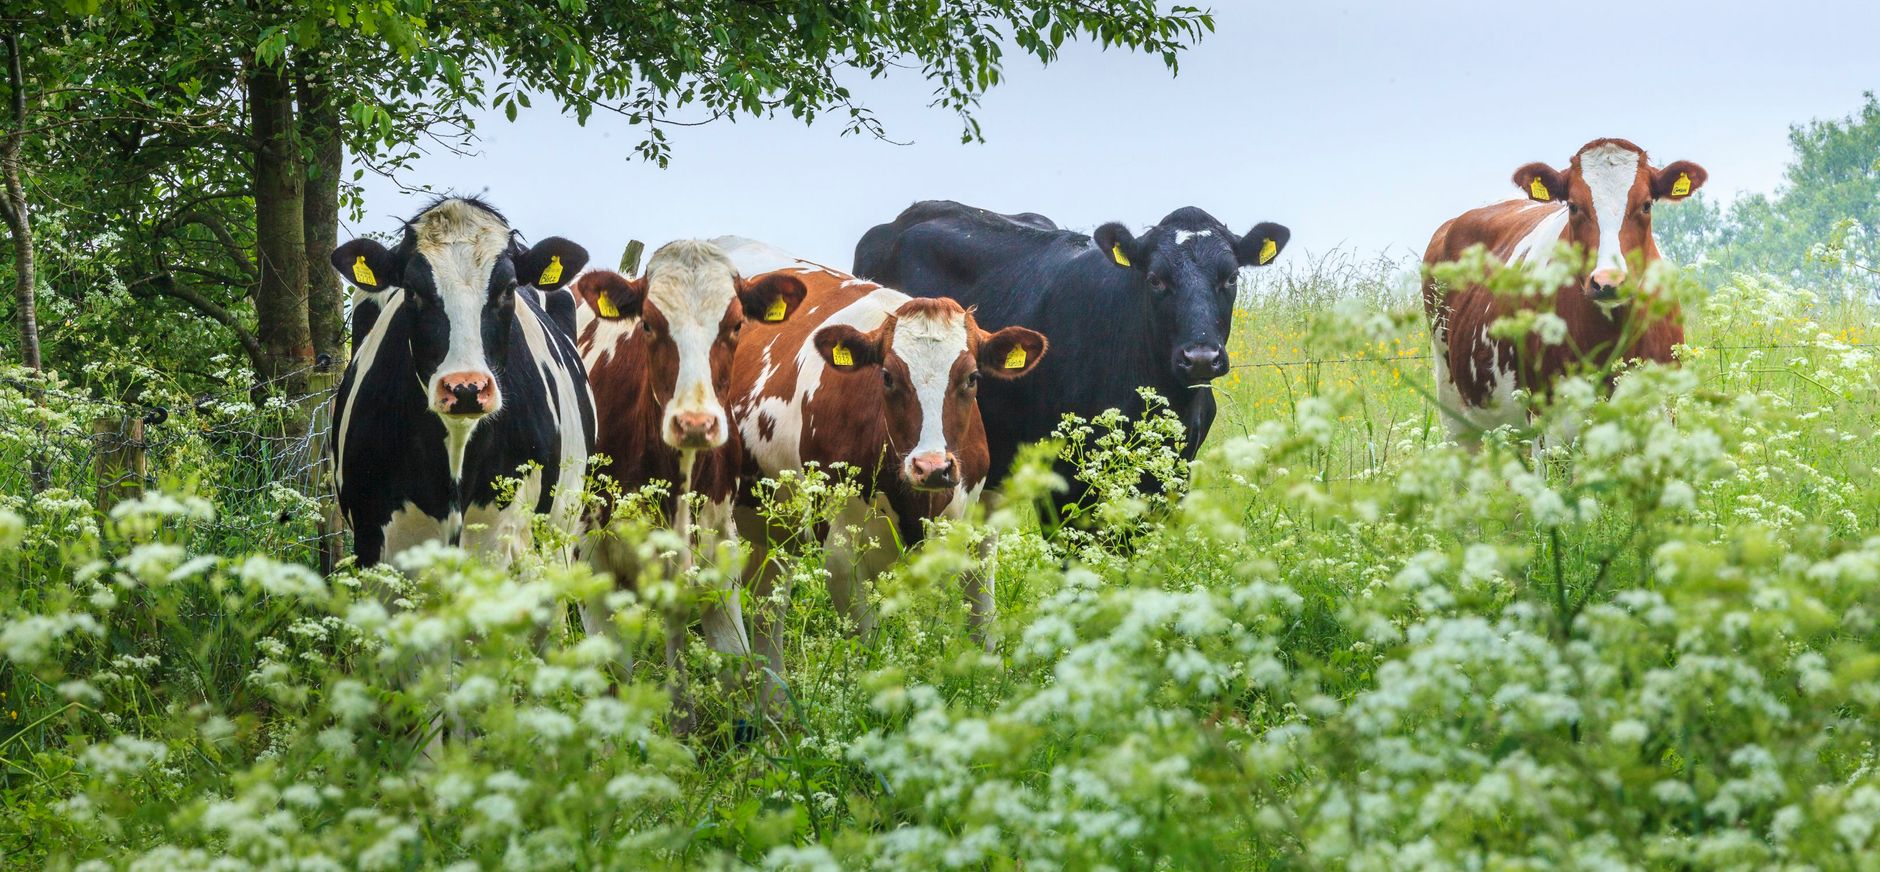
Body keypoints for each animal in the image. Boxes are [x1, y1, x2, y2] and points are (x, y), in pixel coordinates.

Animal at [570, 241, 808, 699]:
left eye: (736, 324)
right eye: (647, 323)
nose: (695, 423)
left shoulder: (720, 558)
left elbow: (735, 667)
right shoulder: (590, 559)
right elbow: (611, 679)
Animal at [717, 237, 1047, 669]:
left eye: (972, 377)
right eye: (887, 376)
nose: (932, 468)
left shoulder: (980, 532)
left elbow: (983, 630)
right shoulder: (841, 555)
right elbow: (869, 654)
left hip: (776, 529)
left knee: (766, 607)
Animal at [1422, 138, 1706, 440]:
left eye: (1646, 205)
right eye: (1573, 206)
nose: (1608, 281)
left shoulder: (1662, 411)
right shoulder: (1549, 422)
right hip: (1453, 408)